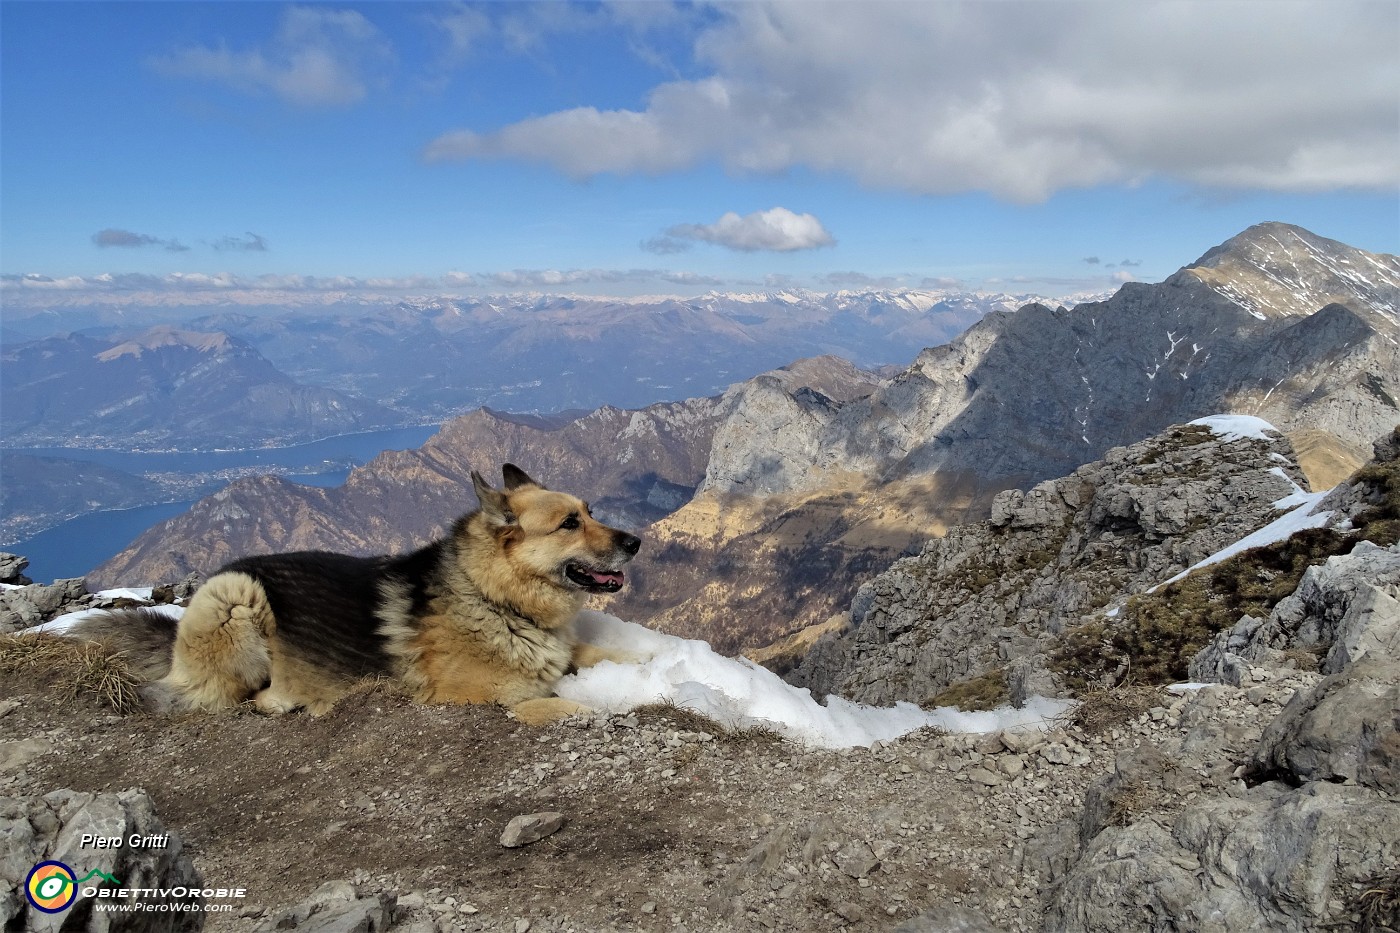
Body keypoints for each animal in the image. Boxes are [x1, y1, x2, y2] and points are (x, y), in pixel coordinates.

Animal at [75, 462, 641, 717]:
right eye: (569, 523)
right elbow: (574, 707)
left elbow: (606, 655)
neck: (495, 599)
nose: (636, 541)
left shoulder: (567, 651)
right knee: (232, 697)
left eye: (590, 511)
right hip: (236, 598)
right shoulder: (477, 698)